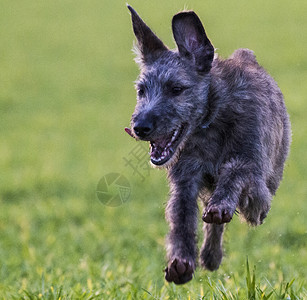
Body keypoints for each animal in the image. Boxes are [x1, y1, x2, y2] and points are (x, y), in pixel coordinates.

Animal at [125, 5, 292, 284]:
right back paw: (210, 256)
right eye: (141, 90)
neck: (212, 118)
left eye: (176, 89)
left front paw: (221, 203)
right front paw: (181, 261)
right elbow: (181, 215)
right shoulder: (186, 178)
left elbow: (236, 171)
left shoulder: (254, 173)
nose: (140, 127)